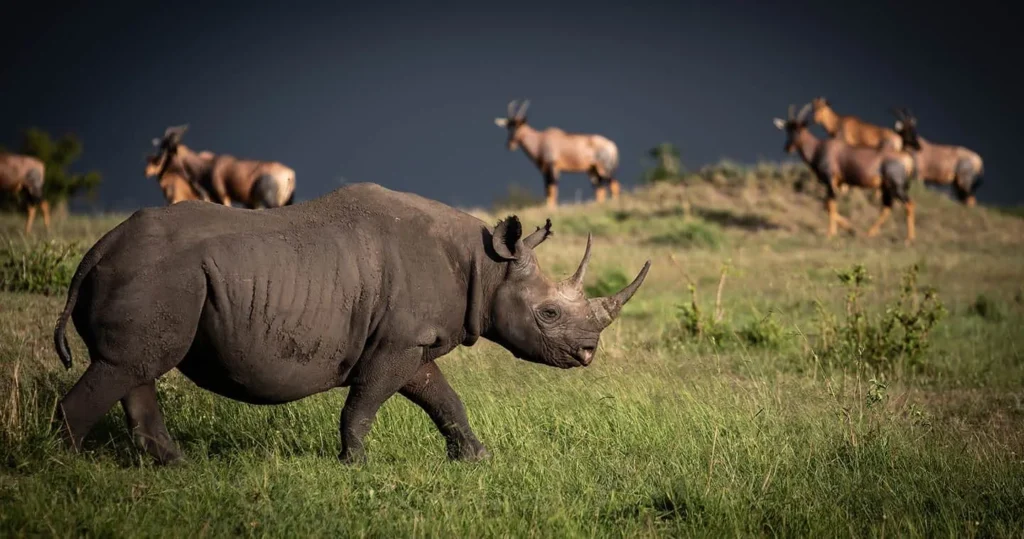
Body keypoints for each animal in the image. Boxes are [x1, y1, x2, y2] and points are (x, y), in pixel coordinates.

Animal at [52, 182, 651, 465]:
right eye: (548, 314)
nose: (588, 353)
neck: (485, 265)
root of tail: (98, 250)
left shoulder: (412, 341)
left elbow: (443, 399)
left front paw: (477, 458)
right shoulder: (396, 342)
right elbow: (364, 404)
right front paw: (356, 464)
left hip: (154, 276)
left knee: (133, 367)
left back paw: (175, 466)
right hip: (158, 274)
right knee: (127, 366)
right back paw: (67, 471)